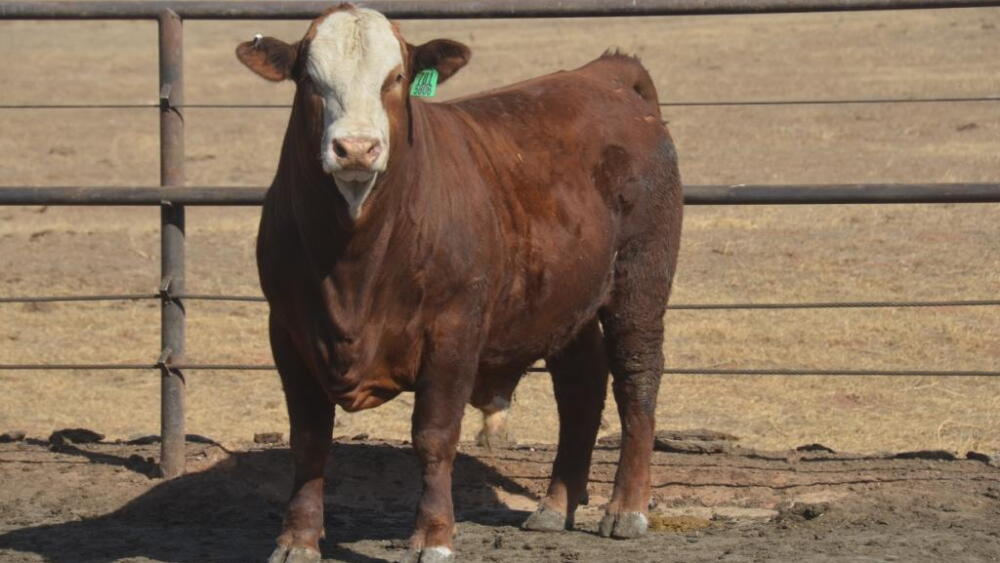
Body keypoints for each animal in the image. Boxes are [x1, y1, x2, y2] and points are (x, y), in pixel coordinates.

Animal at [236, 4, 682, 562]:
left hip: (639, 282)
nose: (356, 148)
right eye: (310, 80)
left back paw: (626, 508)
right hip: (565, 301)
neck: (355, 259)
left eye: (396, 78)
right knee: (580, 387)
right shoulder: (289, 330)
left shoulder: (453, 330)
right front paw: (297, 539)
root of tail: (605, 75)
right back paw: (554, 506)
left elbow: (434, 436)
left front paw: (433, 537)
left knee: (637, 379)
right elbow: (310, 440)